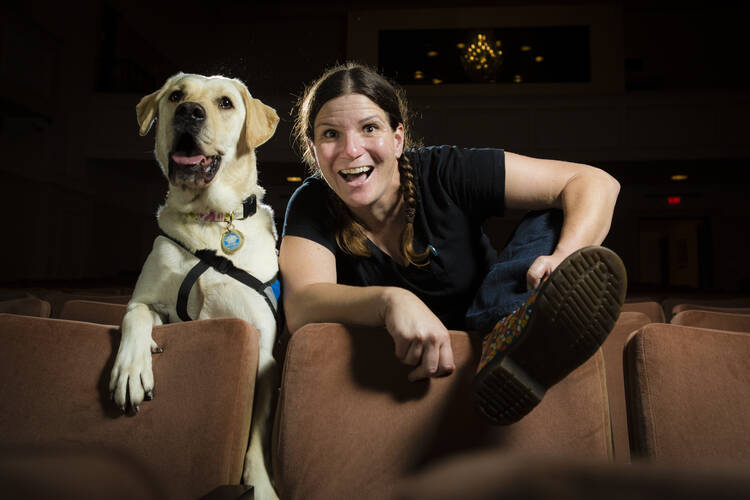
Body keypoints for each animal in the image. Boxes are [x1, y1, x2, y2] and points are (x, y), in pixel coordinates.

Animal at [108, 72, 280, 498]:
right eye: (175, 96)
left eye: (225, 103)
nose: (189, 111)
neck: (210, 221)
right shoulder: (150, 303)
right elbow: (136, 316)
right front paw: (132, 369)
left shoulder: (263, 351)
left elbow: (255, 433)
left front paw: (261, 484)